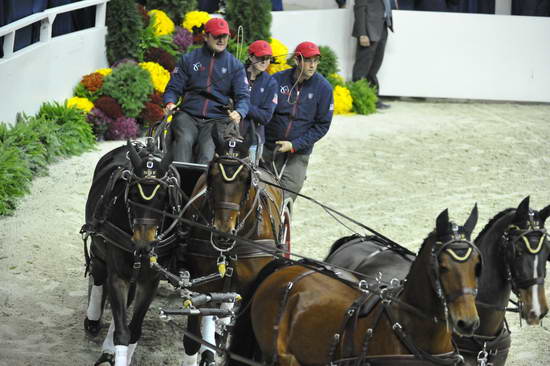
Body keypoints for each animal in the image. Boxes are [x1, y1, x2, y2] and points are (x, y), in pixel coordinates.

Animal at [82, 139, 185, 364]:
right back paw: (92, 318)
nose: (143, 243)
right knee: (98, 271)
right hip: (98, 247)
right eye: (134, 194)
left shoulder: (150, 281)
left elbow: (134, 330)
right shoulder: (117, 276)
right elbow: (122, 332)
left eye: (163, 197)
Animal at [181, 122, 288, 366]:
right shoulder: (200, 284)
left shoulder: (250, 287)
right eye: (211, 175)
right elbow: (193, 338)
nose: (222, 232)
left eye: (246, 178)